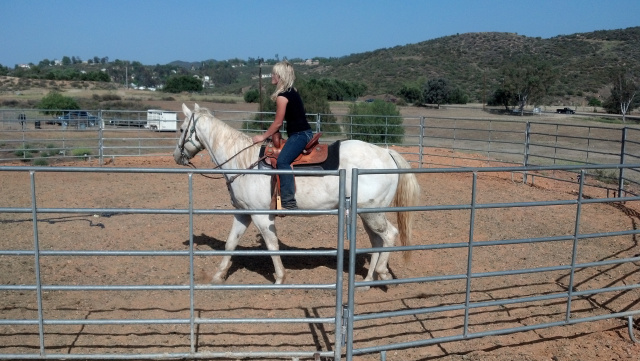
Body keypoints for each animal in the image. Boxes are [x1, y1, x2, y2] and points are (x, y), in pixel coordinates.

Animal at [172, 102, 420, 286]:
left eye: (182, 129)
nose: (176, 156)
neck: (244, 162)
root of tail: (386, 153)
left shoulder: (262, 216)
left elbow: (272, 246)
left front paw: (280, 278)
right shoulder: (243, 213)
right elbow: (230, 244)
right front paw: (217, 276)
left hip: (372, 212)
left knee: (390, 235)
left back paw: (382, 272)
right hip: (367, 213)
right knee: (377, 240)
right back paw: (368, 280)